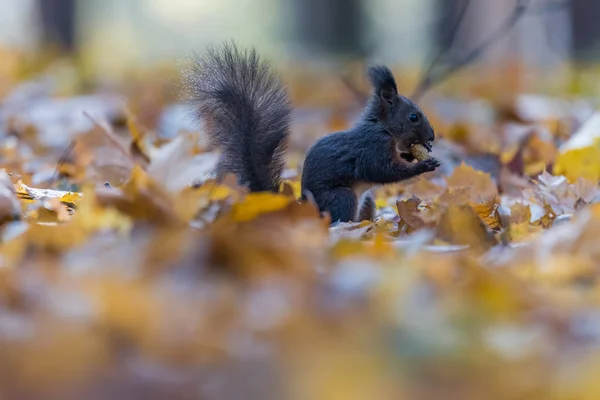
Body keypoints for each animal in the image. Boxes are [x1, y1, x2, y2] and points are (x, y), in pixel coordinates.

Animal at [183, 43, 440, 225]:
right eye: (413, 117)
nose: (431, 138)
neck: (383, 128)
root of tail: (304, 210)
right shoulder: (372, 147)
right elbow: (383, 170)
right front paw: (422, 165)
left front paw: (413, 155)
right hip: (341, 197)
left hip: (366, 201)